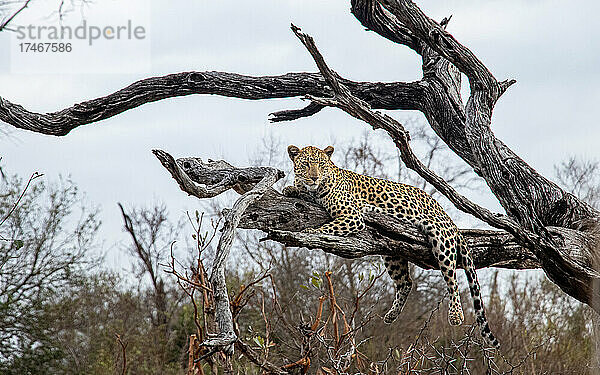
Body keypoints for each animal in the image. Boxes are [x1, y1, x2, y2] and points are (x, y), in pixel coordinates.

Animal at [284, 145, 500, 348]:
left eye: (321, 165)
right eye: (306, 164)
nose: (314, 177)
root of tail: (449, 218)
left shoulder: (352, 216)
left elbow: (328, 227)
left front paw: (310, 232)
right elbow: (300, 190)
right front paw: (292, 188)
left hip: (440, 238)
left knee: (452, 280)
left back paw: (455, 315)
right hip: (392, 253)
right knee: (406, 282)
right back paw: (391, 315)